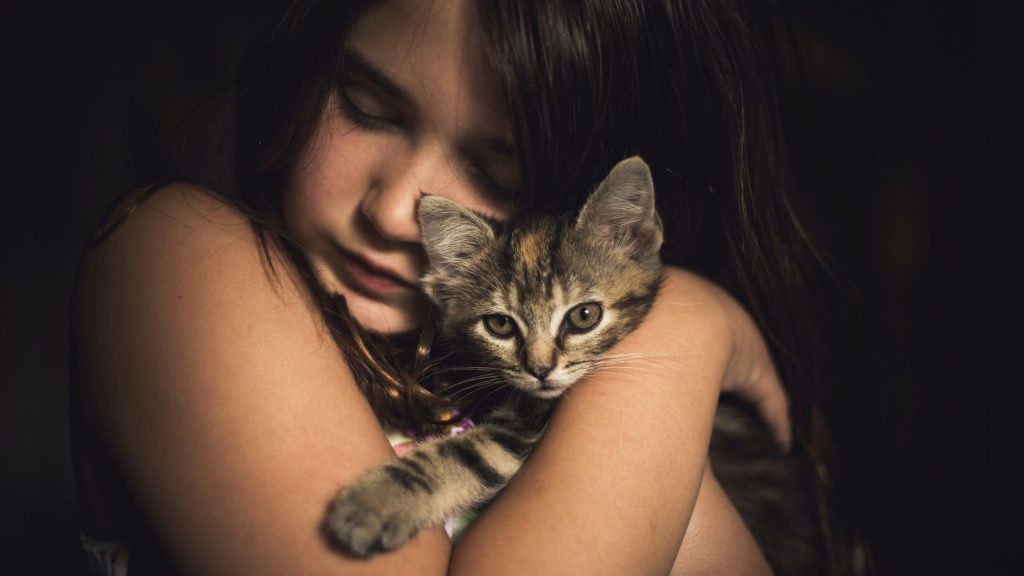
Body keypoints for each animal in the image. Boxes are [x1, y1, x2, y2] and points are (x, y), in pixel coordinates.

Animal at [327, 154, 823, 569]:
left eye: (584, 316)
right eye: (500, 325)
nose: (540, 368)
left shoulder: (524, 429)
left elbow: (468, 453)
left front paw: (370, 504)